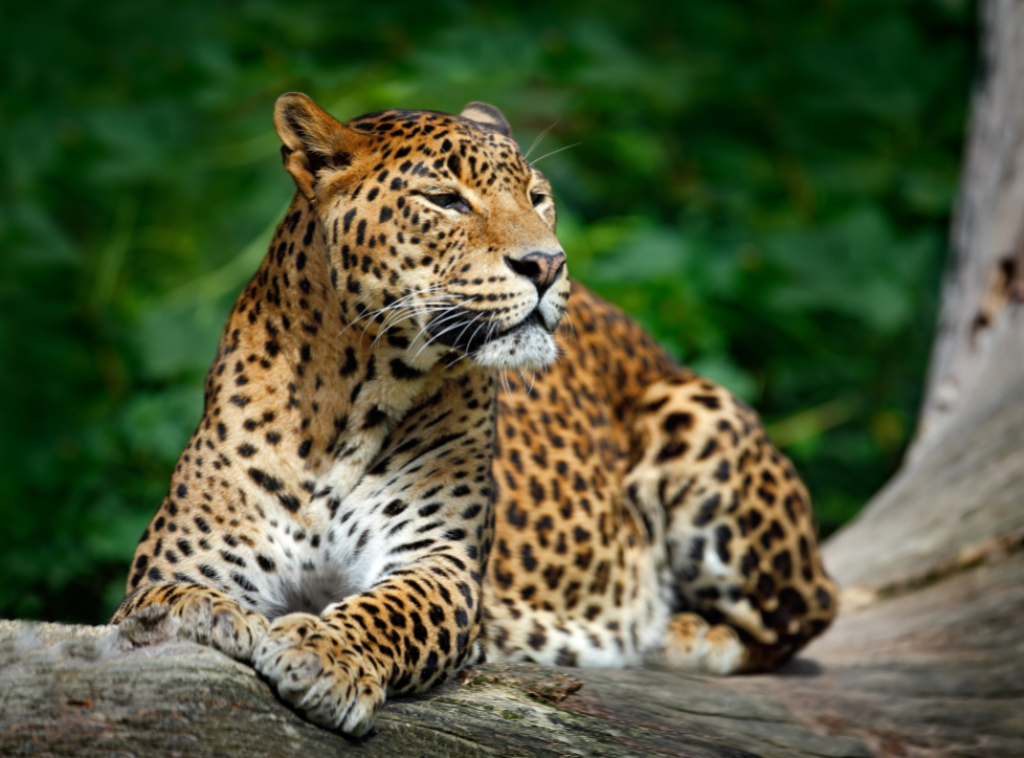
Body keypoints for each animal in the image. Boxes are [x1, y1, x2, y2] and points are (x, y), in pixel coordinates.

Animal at [112, 92, 837, 737]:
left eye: (538, 197)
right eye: (445, 200)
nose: (548, 263)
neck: (350, 400)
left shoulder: (441, 562)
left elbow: (390, 611)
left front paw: (323, 654)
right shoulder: (181, 559)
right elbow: (165, 600)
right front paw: (207, 618)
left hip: (697, 412)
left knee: (808, 613)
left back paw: (677, 632)